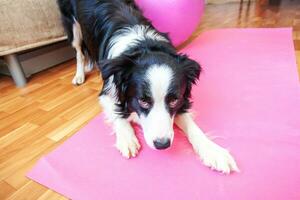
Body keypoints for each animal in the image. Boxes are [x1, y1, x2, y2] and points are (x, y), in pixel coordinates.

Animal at [57, 0, 238, 173]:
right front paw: (127, 138)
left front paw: (213, 151)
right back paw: (79, 74)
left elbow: (191, 125)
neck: (143, 46)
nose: (162, 145)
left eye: (174, 101)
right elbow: (116, 113)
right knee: (79, 51)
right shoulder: (107, 90)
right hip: (73, 26)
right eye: (143, 101)